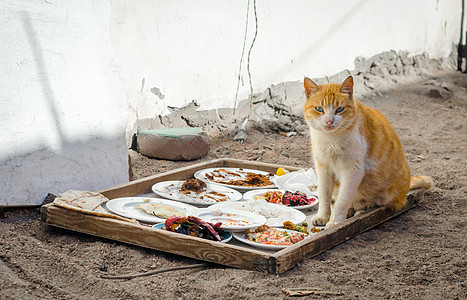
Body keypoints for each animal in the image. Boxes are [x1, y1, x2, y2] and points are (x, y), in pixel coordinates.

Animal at [306, 75, 434, 227]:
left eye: (340, 109)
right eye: (319, 109)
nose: (329, 121)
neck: (331, 139)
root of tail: (406, 186)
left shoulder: (353, 171)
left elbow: (342, 201)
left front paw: (335, 222)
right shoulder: (323, 168)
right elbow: (324, 195)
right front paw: (323, 216)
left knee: (370, 203)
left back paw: (360, 211)